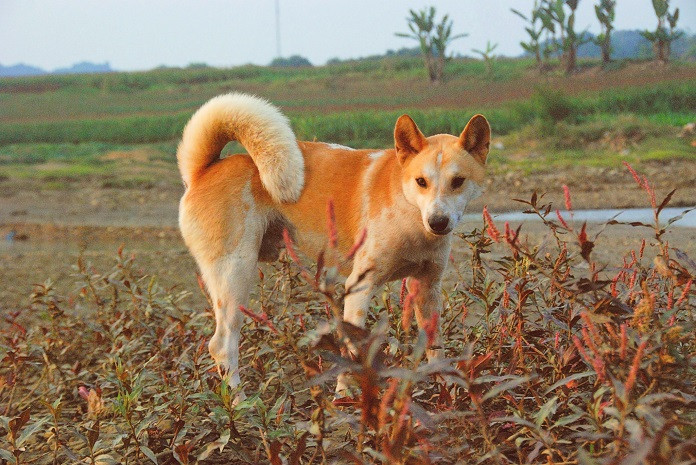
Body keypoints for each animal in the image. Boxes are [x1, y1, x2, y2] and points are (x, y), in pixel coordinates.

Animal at [177, 92, 492, 394]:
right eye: (421, 181)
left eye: (458, 181)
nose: (438, 222)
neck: (409, 213)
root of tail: (202, 171)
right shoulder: (360, 288)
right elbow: (353, 354)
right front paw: (345, 398)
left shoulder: (427, 287)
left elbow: (435, 349)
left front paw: (449, 390)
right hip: (236, 276)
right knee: (222, 346)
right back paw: (239, 402)